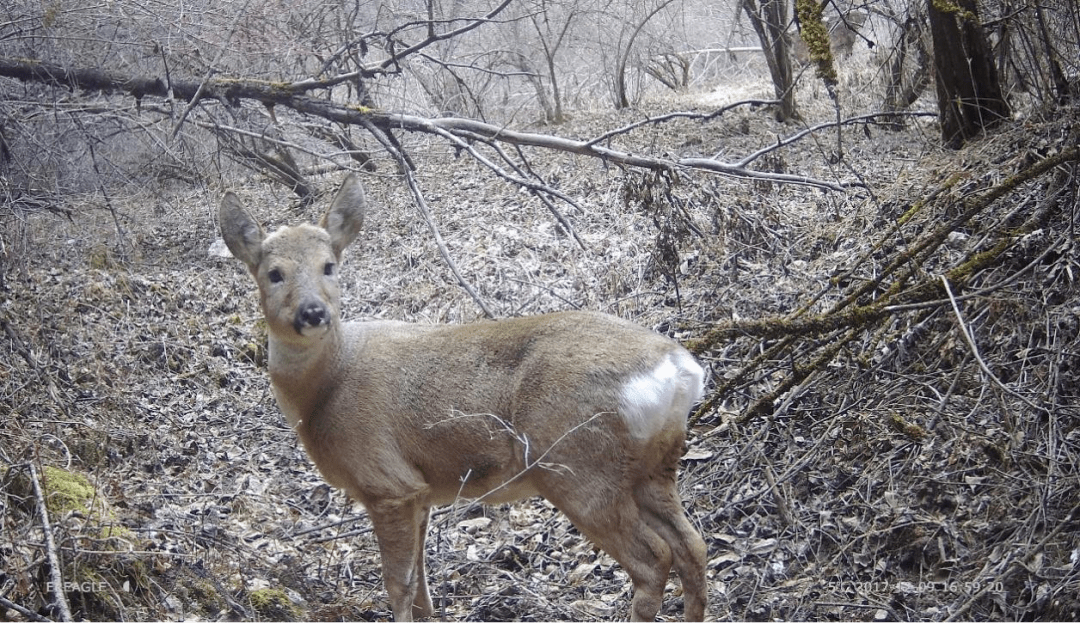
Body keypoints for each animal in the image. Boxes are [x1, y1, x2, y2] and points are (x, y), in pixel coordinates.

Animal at [219, 172, 708, 617]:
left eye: (329, 265)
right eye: (273, 273)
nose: (313, 312)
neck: (325, 389)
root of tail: (680, 368)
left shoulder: (386, 482)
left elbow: (398, 586)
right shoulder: (420, 491)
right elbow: (421, 591)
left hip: (578, 465)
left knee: (653, 560)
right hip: (654, 467)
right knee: (693, 546)